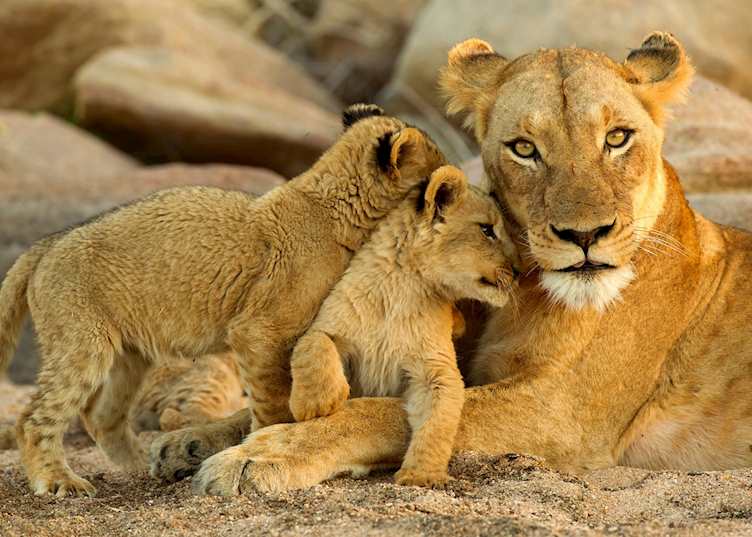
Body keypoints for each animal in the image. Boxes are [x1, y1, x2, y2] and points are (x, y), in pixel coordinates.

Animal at [0, 103, 446, 497]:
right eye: (437, 167)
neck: (332, 205)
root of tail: (46, 245)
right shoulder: (261, 330)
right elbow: (273, 399)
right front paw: (264, 438)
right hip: (82, 343)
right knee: (34, 419)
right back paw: (59, 482)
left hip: (129, 354)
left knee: (100, 415)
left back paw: (141, 463)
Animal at [149, 31, 752, 497]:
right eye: (525, 148)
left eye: (618, 138)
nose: (585, 236)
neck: (526, 295)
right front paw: (189, 440)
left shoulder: (561, 412)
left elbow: (380, 410)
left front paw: (262, 453)